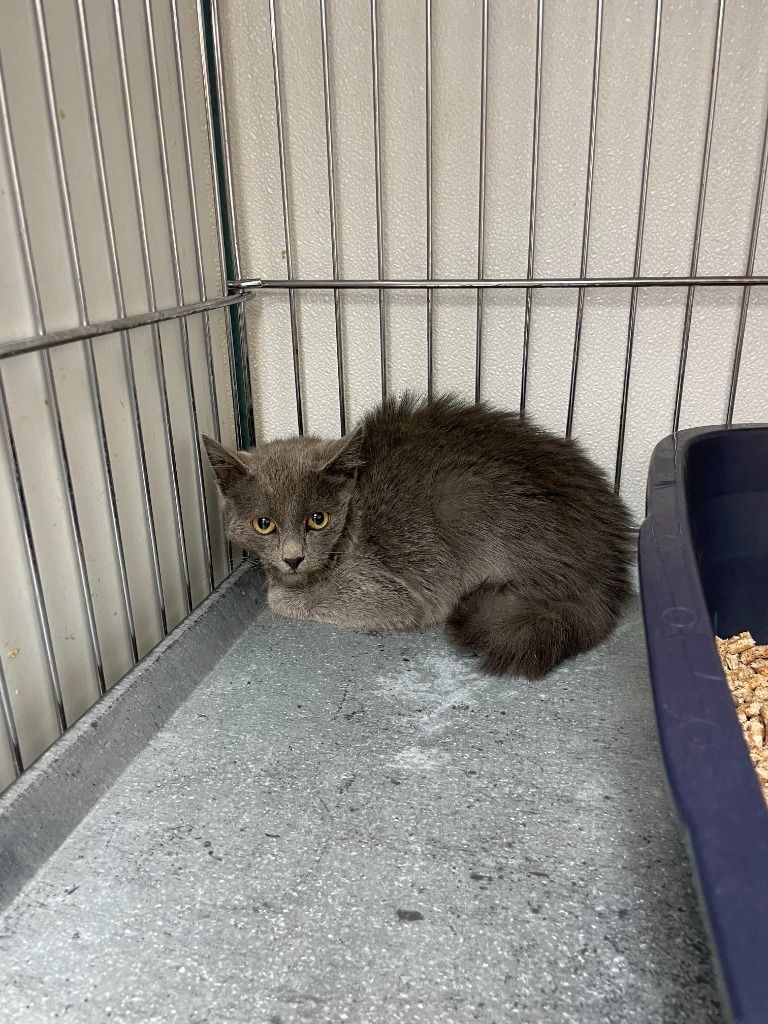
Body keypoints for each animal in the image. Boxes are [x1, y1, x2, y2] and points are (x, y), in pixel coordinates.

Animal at [202, 395, 630, 675]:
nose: (292, 558)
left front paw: (281, 591)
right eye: (264, 524)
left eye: (318, 519)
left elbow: (284, 599)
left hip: (466, 501)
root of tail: (608, 575)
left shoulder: (388, 590)